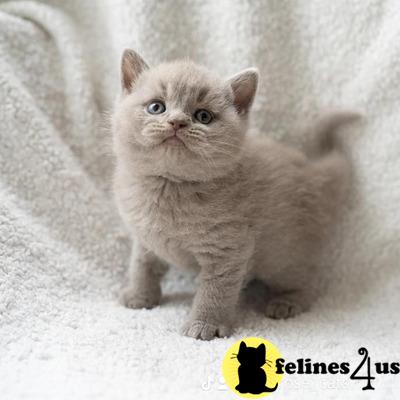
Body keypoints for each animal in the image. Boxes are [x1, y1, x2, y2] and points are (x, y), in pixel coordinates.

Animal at [111, 47, 356, 340]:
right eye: (156, 107)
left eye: (203, 116)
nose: (177, 122)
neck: (169, 187)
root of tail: (313, 173)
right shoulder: (145, 237)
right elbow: (142, 265)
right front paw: (139, 297)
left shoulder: (227, 250)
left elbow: (215, 290)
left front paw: (204, 325)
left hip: (284, 255)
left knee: (306, 279)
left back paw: (287, 302)